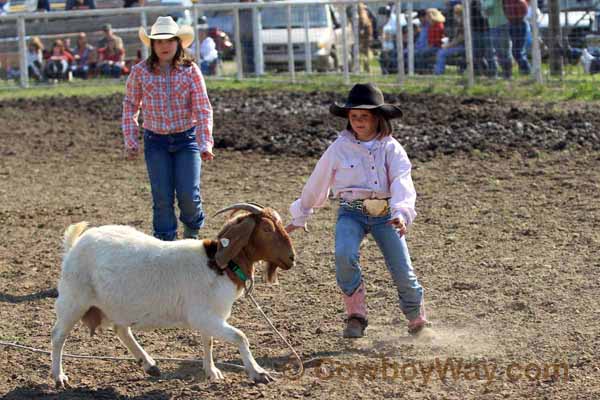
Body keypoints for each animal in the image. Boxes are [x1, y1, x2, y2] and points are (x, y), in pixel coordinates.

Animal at [51, 203, 296, 388]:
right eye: (266, 229)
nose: (292, 258)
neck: (218, 265)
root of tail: (75, 245)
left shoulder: (210, 316)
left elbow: (208, 341)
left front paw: (212, 372)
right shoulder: (204, 316)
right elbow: (240, 337)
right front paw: (258, 373)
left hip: (117, 305)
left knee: (121, 330)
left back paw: (149, 364)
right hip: (74, 300)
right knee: (58, 336)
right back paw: (59, 377)